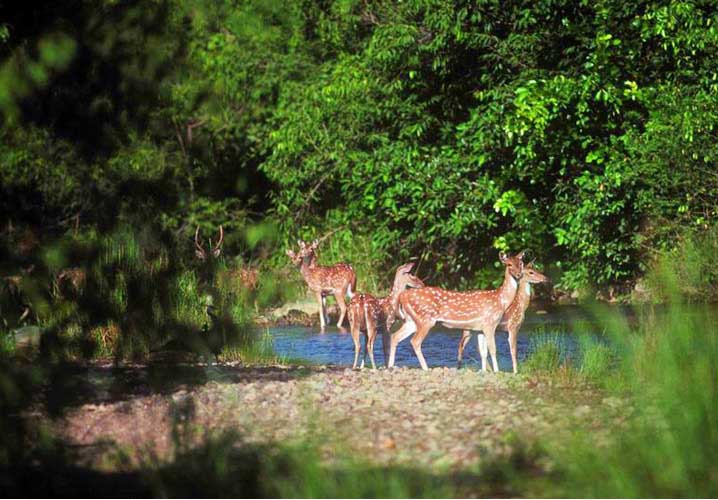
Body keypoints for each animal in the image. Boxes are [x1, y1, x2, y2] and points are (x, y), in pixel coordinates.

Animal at [388, 250, 528, 372]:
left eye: (521, 264)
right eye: (509, 264)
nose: (519, 275)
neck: (501, 300)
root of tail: (403, 296)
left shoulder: (479, 328)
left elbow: (483, 352)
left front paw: (485, 371)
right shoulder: (490, 323)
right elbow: (493, 349)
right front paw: (497, 371)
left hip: (411, 321)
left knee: (395, 336)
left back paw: (390, 366)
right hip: (426, 319)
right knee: (415, 341)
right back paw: (425, 368)